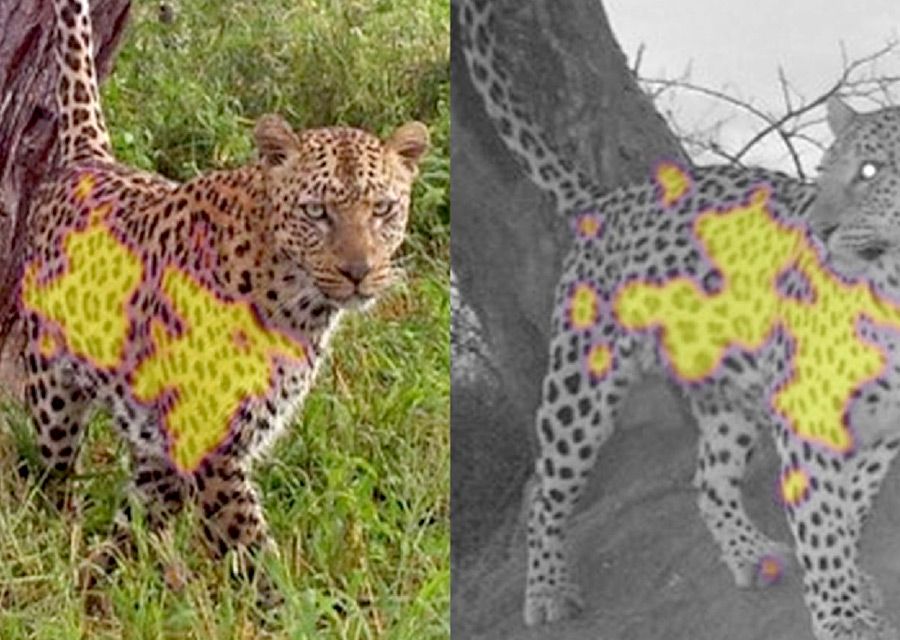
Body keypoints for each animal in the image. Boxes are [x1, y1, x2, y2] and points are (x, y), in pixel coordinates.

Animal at [18, 0, 428, 602]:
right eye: (316, 212)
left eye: (382, 209)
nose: (359, 272)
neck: (298, 305)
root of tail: (89, 161)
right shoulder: (212, 443)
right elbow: (252, 552)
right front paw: (295, 611)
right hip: (52, 392)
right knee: (50, 472)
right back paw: (60, 538)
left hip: (149, 434)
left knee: (135, 519)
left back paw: (106, 583)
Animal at [459, 1, 900, 638]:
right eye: (823, 172)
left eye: (870, 172)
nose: (819, 228)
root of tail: (607, 200)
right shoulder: (807, 416)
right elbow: (823, 521)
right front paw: (841, 615)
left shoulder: (883, 426)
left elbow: (848, 511)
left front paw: (854, 589)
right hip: (580, 387)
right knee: (543, 488)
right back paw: (546, 590)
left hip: (726, 394)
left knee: (709, 481)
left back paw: (750, 554)